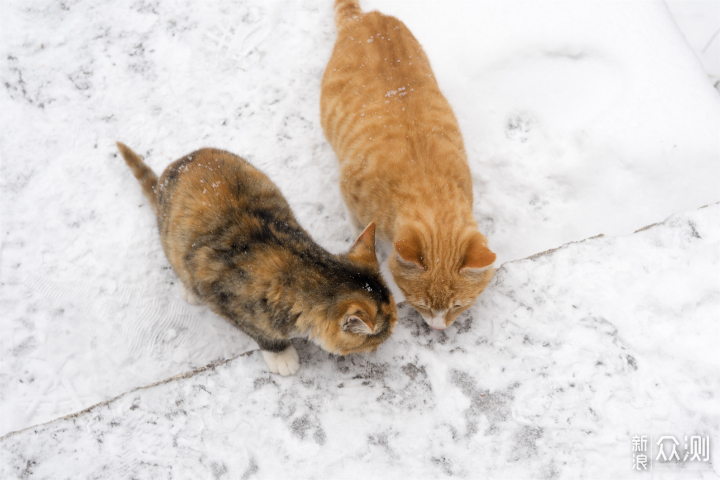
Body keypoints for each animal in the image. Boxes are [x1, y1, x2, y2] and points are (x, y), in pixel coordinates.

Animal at [119, 142, 400, 376]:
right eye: (381, 336)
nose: (387, 341)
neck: (302, 265)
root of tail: (174, 167)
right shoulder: (224, 299)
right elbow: (259, 332)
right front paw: (281, 356)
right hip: (172, 239)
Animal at [320, 0, 496, 330]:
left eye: (457, 305)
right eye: (422, 304)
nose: (439, 328)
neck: (428, 186)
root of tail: (366, 16)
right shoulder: (348, 189)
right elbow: (356, 223)